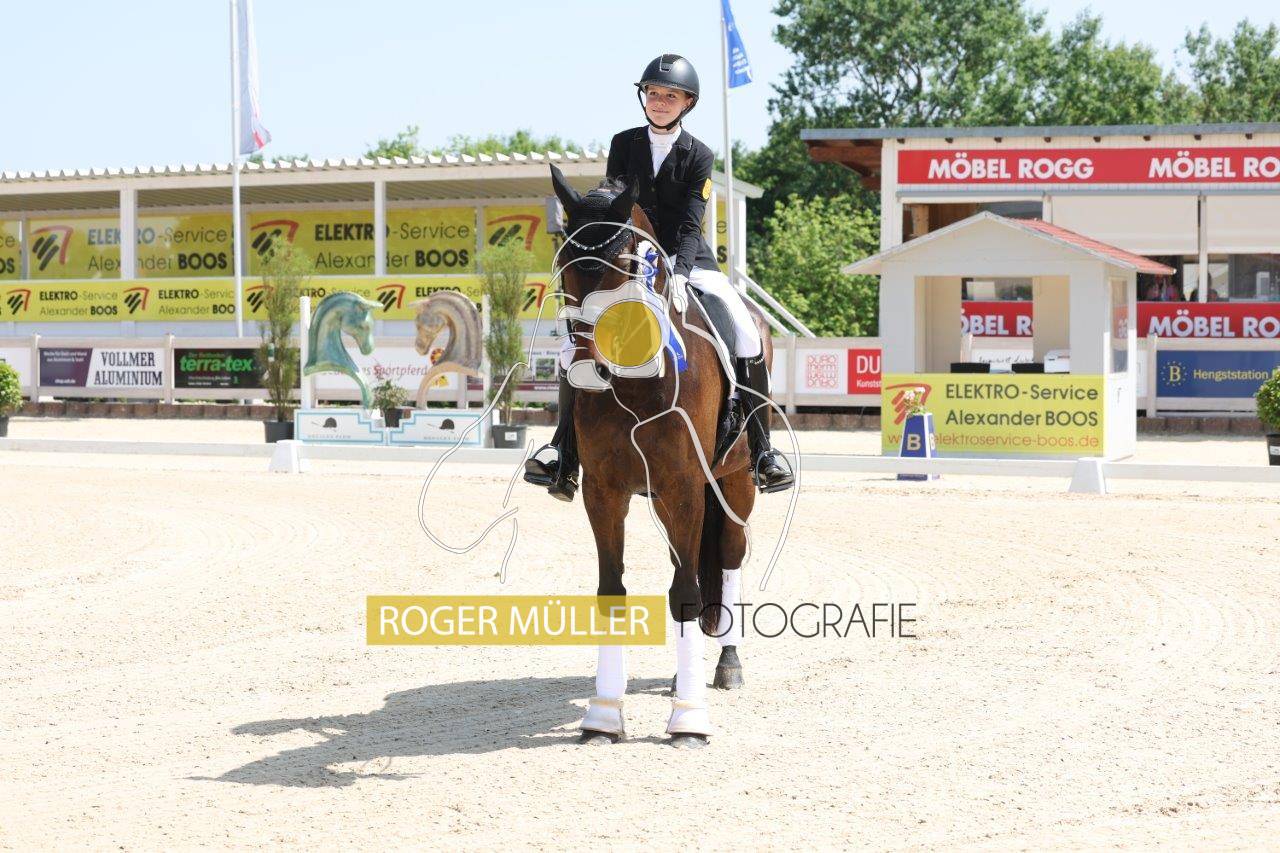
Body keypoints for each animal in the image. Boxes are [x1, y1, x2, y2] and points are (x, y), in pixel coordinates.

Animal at [548, 165, 773, 748]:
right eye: (563, 264)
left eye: (627, 266)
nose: (586, 371)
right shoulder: (604, 491)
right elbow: (612, 590)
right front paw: (603, 716)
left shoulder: (683, 486)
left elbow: (690, 596)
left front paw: (688, 720)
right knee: (684, 565)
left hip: (733, 485)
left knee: (728, 558)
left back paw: (726, 666)